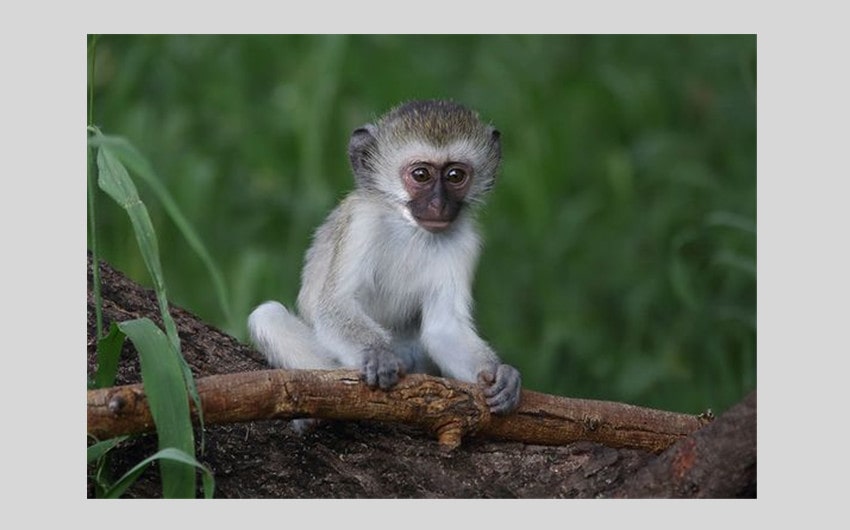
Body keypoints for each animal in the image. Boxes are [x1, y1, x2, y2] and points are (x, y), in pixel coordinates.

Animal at [248, 98, 520, 424]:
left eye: (455, 176)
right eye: (421, 175)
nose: (439, 205)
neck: (410, 229)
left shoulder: (465, 242)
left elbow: (444, 328)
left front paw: (500, 374)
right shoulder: (361, 221)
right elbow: (334, 306)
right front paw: (377, 355)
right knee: (268, 316)